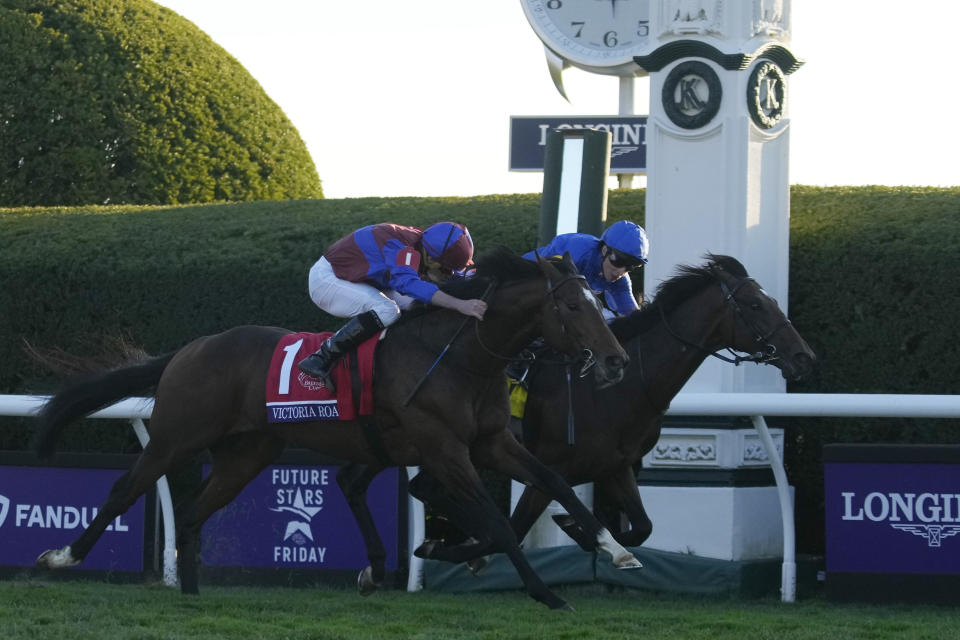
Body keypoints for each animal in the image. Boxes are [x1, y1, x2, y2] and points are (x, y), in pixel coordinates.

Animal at [33, 248, 636, 612]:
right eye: (572, 306)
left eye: (597, 301)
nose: (615, 361)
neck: (460, 355)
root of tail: (189, 349)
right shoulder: (444, 448)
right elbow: (499, 522)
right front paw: (545, 593)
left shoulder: (492, 441)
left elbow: (552, 484)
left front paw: (614, 549)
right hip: (175, 437)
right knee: (125, 489)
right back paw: (62, 558)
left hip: (246, 454)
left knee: (193, 509)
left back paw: (193, 593)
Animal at [362, 252, 816, 568]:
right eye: (755, 305)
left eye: (771, 301)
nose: (804, 357)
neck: (622, 389)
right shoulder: (550, 469)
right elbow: (518, 527)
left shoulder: (614, 466)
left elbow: (642, 528)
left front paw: (582, 533)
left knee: (425, 488)